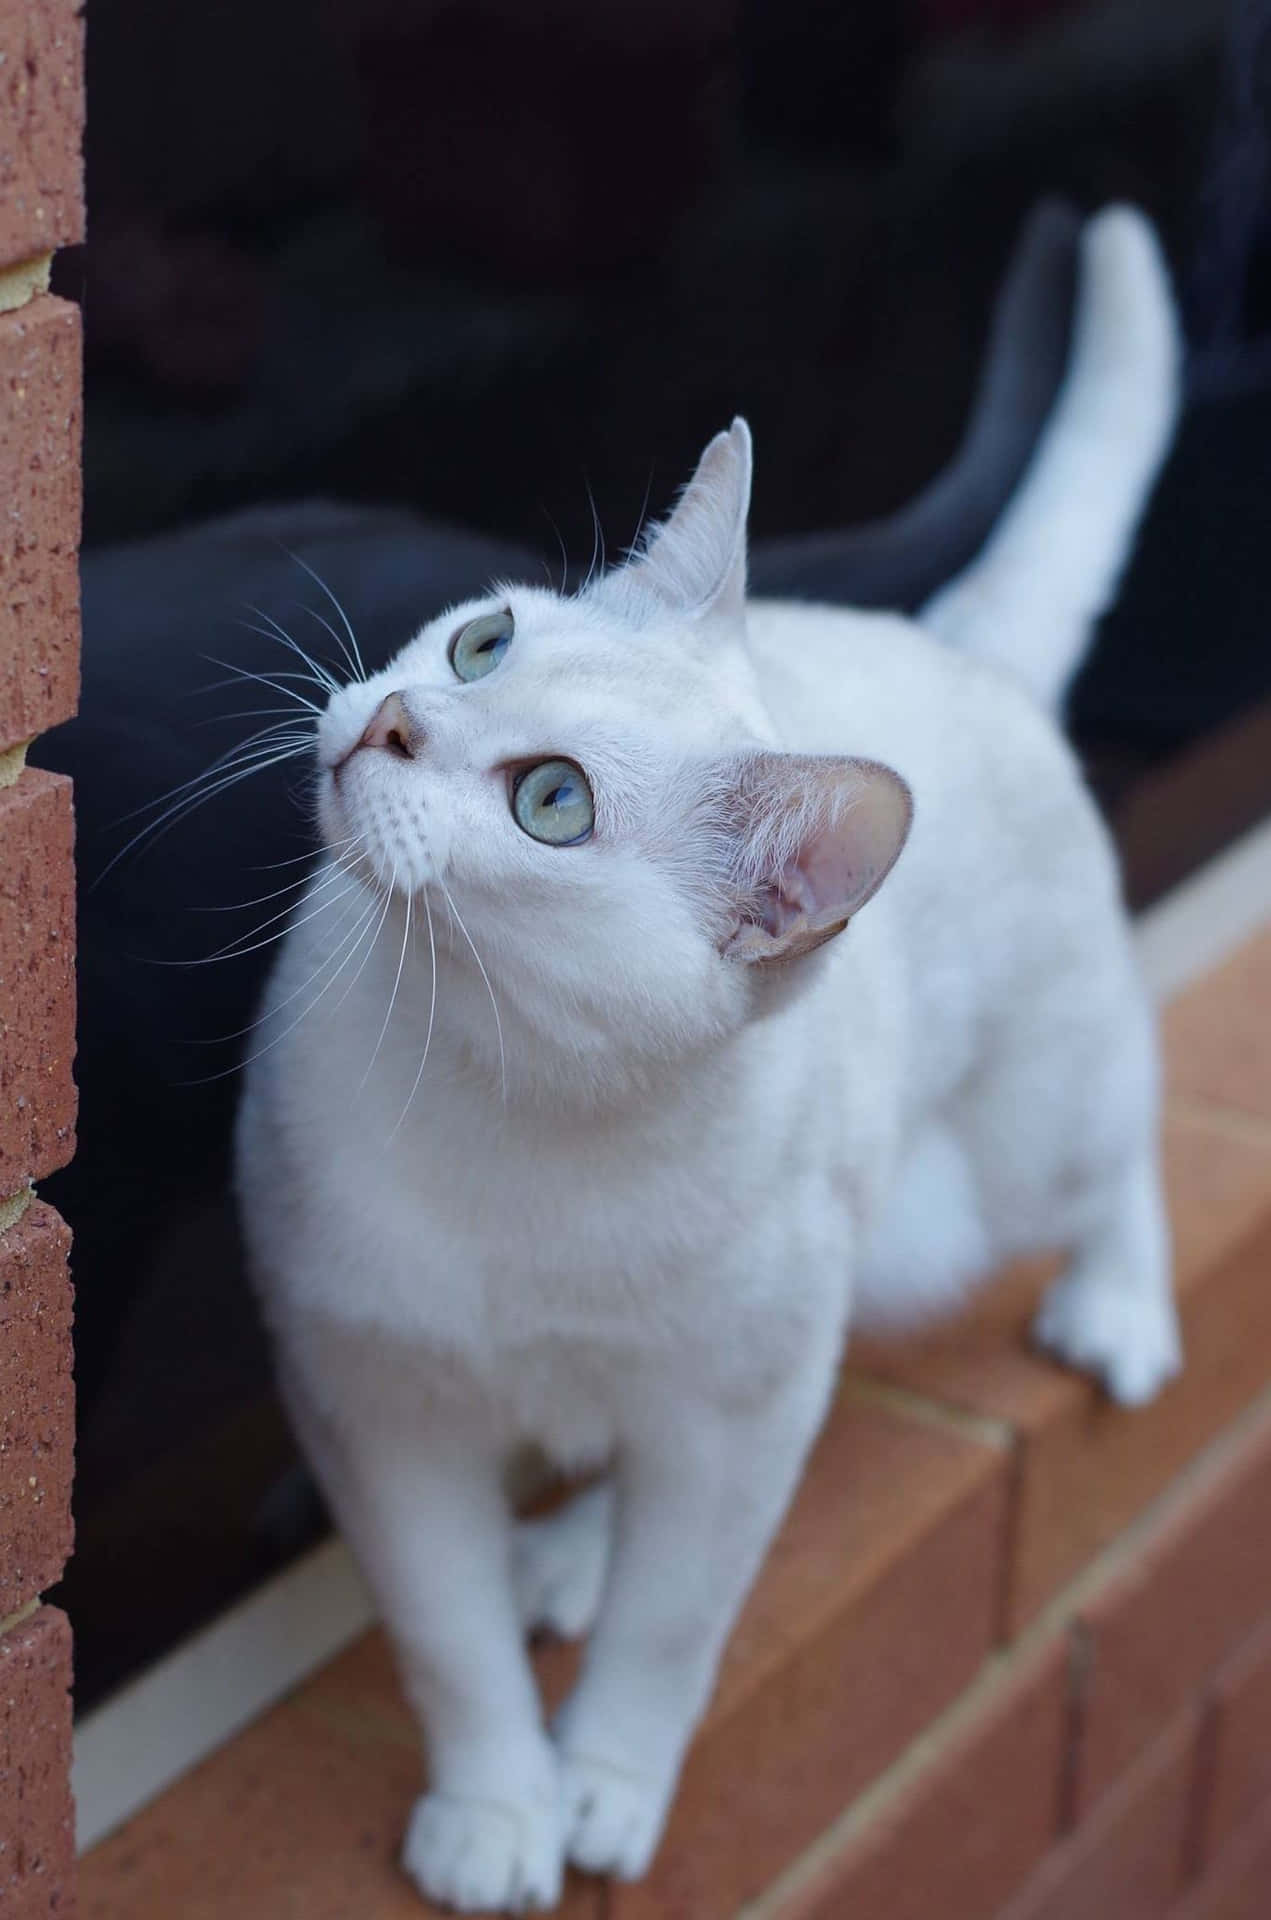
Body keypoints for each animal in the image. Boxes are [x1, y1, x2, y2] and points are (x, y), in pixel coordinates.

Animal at [236, 202, 1182, 1912]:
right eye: (478, 644)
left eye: (550, 803)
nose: (393, 722)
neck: (513, 1103)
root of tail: (947, 646)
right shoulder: (373, 1409)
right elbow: (448, 1640)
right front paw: (495, 1806)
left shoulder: (741, 1412)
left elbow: (674, 1629)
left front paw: (603, 1786)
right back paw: (561, 1554)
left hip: (988, 1181)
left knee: (1115, 1152)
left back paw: (1117, 1309)